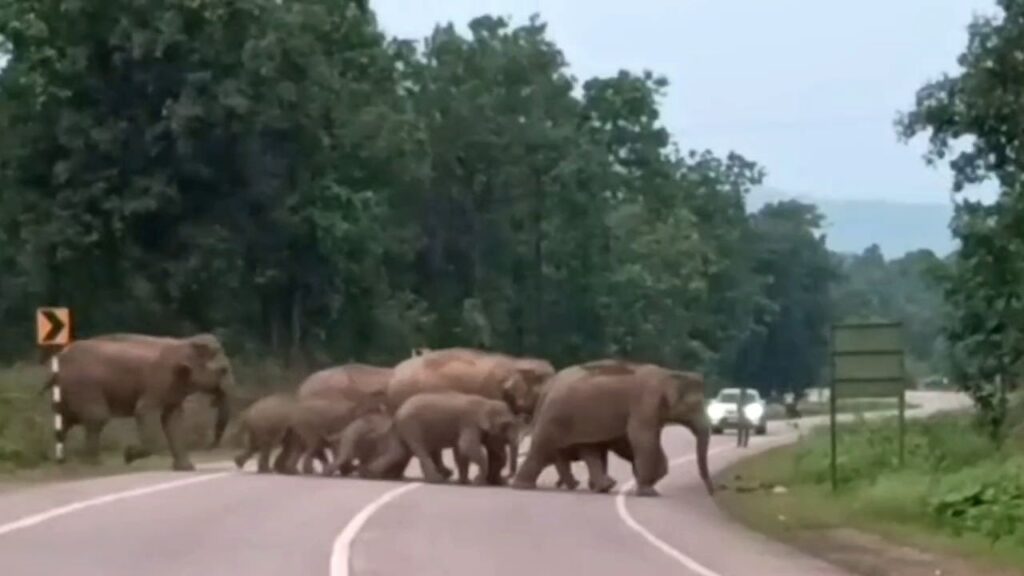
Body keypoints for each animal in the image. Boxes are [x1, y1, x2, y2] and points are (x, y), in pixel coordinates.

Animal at [43, 333, 235, 471]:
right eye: (224, 370)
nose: (209, 447)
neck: (184, 343)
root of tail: (59, 359)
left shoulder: (173, 389)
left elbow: (174, 420)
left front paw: (186, 468)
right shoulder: (159, 381)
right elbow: (144, 411)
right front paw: (128, 455)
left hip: (66, 392)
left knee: (65, 421)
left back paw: (60, 461)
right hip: (84, 387)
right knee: (96, 418)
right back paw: (93, 465)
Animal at [234, 392, 386, 474]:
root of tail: (248, 411)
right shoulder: (340, 424)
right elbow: (332, 448)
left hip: (262, 426)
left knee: (256, 446)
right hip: (267, 424)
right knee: (267, 446)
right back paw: (269, 471)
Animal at [371, 391, 521, 485]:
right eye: (506, 424)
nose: (507, 478)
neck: (486, 402)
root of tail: (396, 413)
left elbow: (460, 452)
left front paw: (465, 482)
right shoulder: (469, 422)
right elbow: (466, 446)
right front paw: (478, 482)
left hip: (404, 428)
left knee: (399, 452)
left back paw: (374, 474)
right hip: (411, 426)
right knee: (419, 449)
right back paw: (436, 480)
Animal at [511, 359, 713, 497]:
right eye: (695, 405)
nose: (712, 492)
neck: (669, 374)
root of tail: (549, 387)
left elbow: (630, 442)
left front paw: (650, 479)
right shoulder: (645, 403)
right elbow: (641, 438)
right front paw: (648, 492)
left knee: (588, 449)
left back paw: (601, 486)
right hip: (556, 417)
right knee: (542, 448)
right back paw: (524, 486)